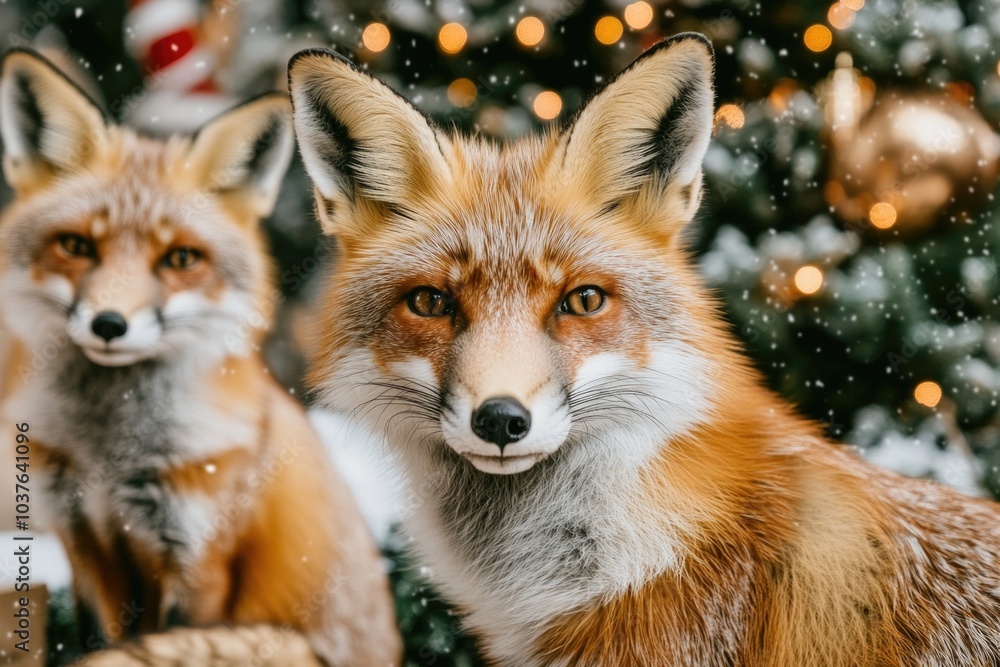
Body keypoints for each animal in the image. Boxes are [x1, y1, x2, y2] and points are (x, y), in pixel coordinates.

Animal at [0, 49, 400, 666]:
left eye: (180, 259)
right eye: (76, 246)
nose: (109, 325)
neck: (109, 456)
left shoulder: (200, 558)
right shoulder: (84, 543)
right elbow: (103, 639)